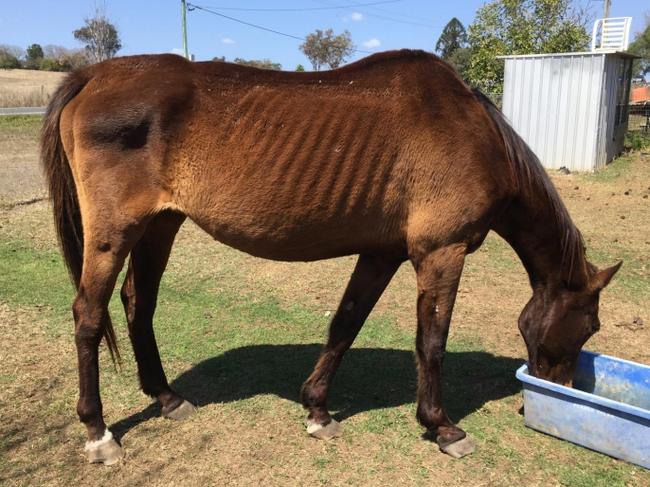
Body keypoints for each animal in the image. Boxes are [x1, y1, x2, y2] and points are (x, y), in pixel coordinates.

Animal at [39, 49, 616, 466]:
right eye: (590, 326)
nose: (560, 390)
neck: (473, 131)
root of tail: (93, 75)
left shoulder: (382, 253)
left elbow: (346, 323)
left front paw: (317, 408)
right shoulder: (441, 253)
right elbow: (431, 342)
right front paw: (442, 426)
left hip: (160, 225)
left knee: (139, 304)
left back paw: (166, 397)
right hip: (114, 233)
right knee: (89, 315)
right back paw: (98, 432)